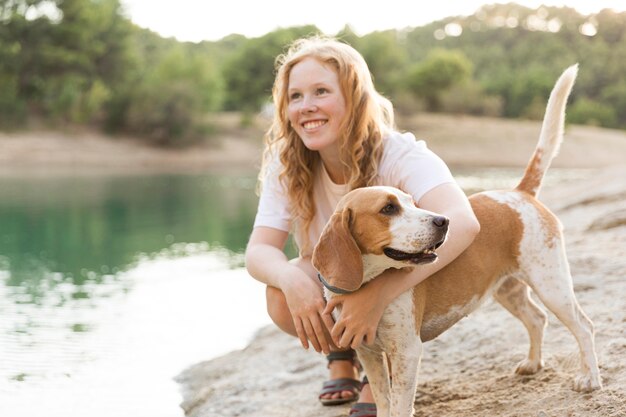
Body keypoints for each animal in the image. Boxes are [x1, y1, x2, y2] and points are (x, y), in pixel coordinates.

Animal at [312, 63, 600, 414]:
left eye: (412, 201)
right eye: (388, 208)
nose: (443, 221)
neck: (368, 282)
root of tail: (519, 192)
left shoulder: (407, 351)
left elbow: (400, 406)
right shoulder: (369, 354)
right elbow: (383, 401)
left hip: (552, 285)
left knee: (584, 326)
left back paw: (590, 379)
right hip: (509, 290)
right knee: (537, 319)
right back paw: (533, 363)